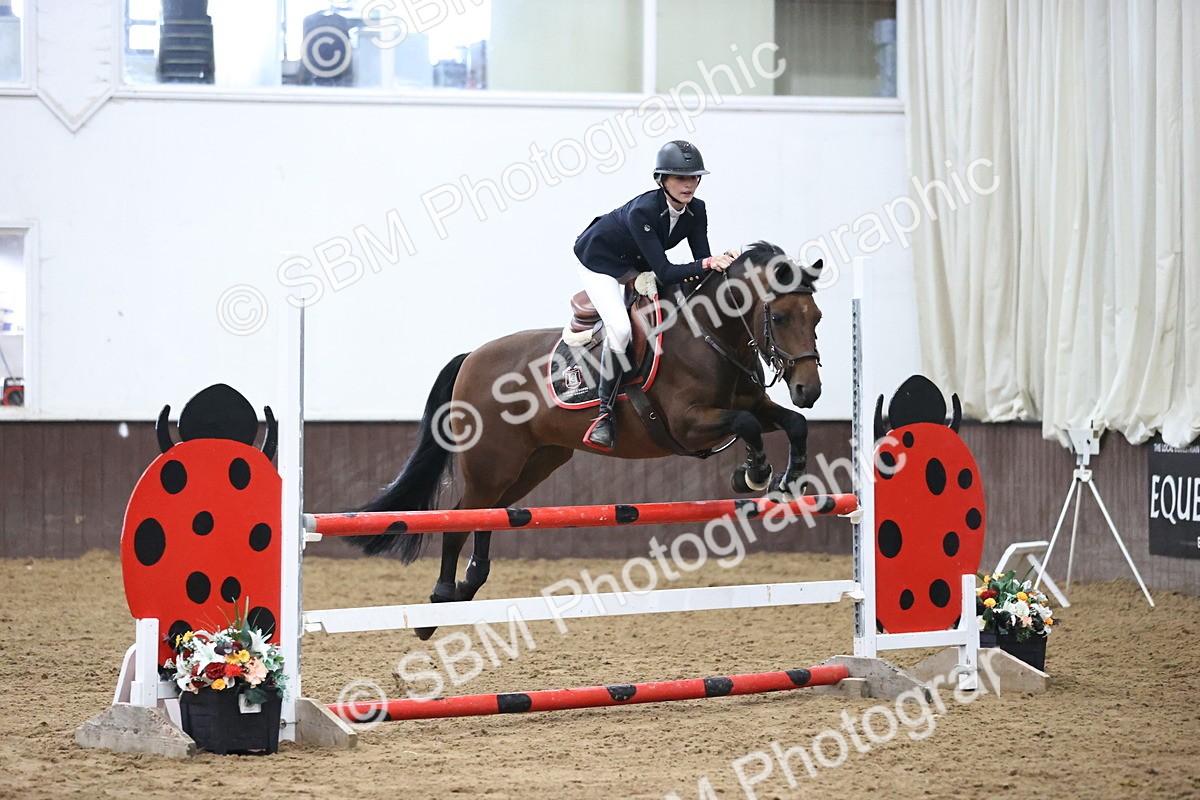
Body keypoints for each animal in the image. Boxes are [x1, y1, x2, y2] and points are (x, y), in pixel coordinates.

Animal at [346, 241, 824, 639]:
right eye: (780, 317)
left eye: (817, 318)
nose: (809, 390)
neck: (711, 334)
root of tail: (471, 358)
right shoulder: (688, 425)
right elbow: (745, 424)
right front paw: (755, 473)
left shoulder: (755, 404)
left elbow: (793, 423)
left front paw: (790, 475)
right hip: (490, 464)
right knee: (458, 521)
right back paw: (440, 604)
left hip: (534, 463)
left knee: (489, 515)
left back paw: (468, 584)